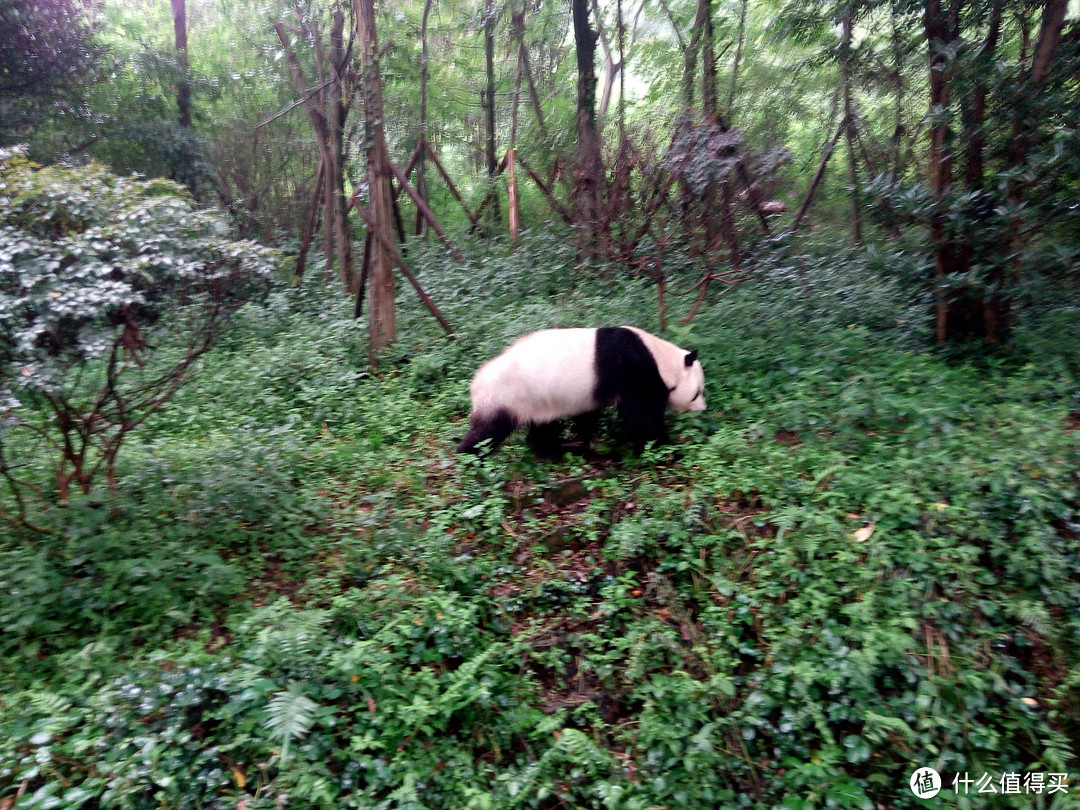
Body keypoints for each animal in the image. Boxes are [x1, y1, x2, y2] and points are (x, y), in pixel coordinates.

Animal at [457, 328, 704, 457]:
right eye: (697, 392)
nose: (702, 409)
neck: (661, 359)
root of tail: (476, 384)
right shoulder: (634, 370)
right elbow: (643, 419)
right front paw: (669, 448)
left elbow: (589, 416)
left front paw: (584, 441)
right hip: (507, 396)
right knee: (489, 430)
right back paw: (468, 455)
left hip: (537, 400)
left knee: (543, 427)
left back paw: (555, 449)